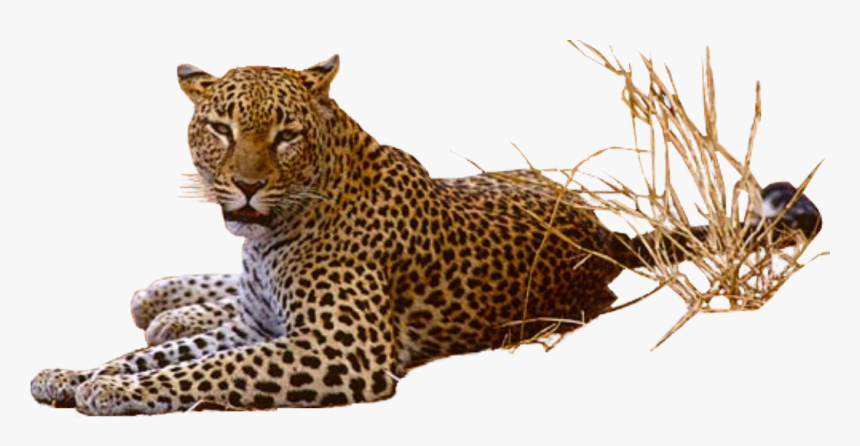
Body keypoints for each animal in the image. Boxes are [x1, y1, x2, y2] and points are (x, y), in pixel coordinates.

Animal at [30, 55, 822, 415]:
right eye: (220, 128)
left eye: (285, 135)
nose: (247, 186)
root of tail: (602, 232)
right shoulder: (260, 324)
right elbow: (159, 354)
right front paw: (75, 374)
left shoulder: (340, 349)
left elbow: (207, 371)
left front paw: (107, 390)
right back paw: (166, 301)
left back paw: (165, 304)